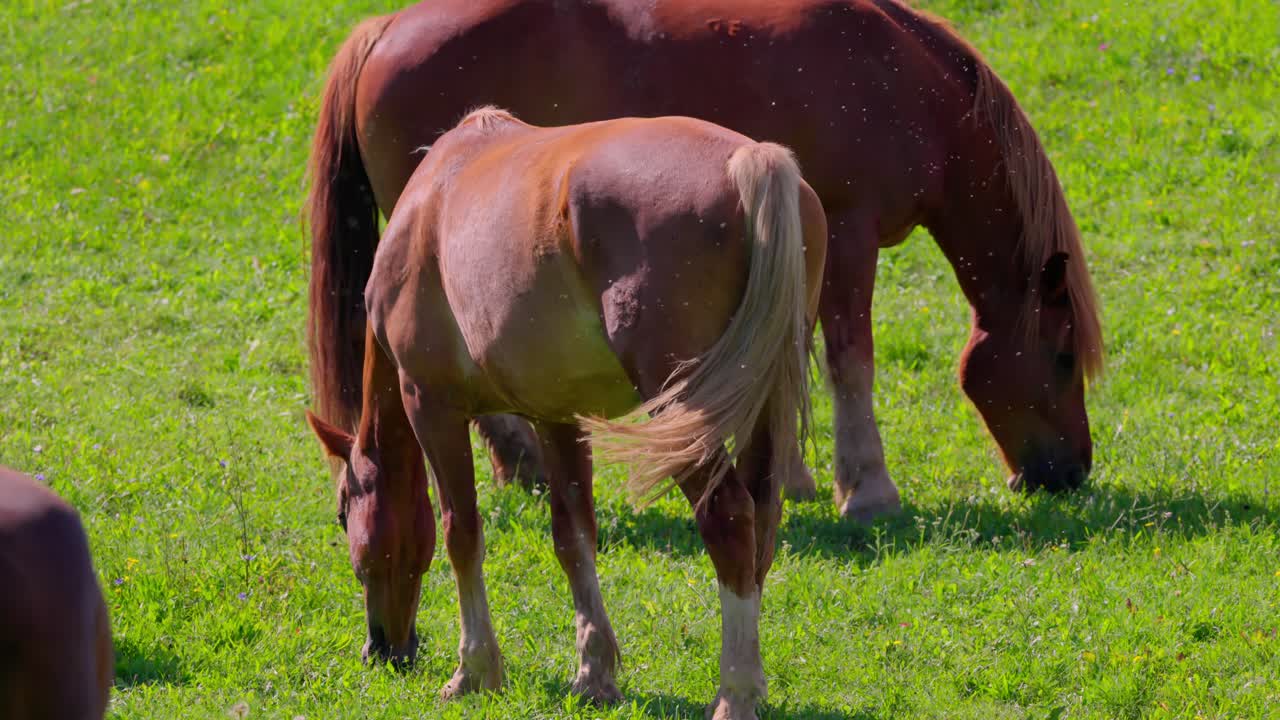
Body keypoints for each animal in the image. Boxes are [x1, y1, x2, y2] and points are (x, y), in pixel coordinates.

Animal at [305, 108, 826, 718]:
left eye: (344, 514)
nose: (381, 649)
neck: (430, 205)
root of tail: (754, 161)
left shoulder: (430, 406)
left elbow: (461, 532)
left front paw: (475, 670)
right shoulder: (557, 417)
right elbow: (573, 538)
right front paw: (594, 673)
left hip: (683, 414)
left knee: (730, 520)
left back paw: (734, 693)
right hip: (763, 408)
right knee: (762, 523)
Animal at [307, 0, 1104, 522]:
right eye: (1064, 358)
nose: (1070, 473)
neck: (896, 80)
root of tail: (381, 32)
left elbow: (790, 349)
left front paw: (795, 474)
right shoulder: (850, 236)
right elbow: (849, 360)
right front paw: (866, 490)